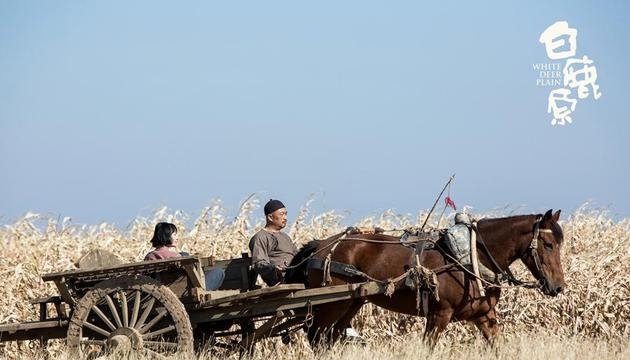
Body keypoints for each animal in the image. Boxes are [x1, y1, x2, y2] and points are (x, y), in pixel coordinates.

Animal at [286, 210, 568, 348]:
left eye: (560, 243)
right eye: (548, 244)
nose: (558, 287)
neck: (471, 256)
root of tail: (321, 245)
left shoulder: (484, 316)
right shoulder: (439, 315)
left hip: (352, 303)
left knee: (329, 338)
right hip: (331, 304)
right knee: (316, 337)